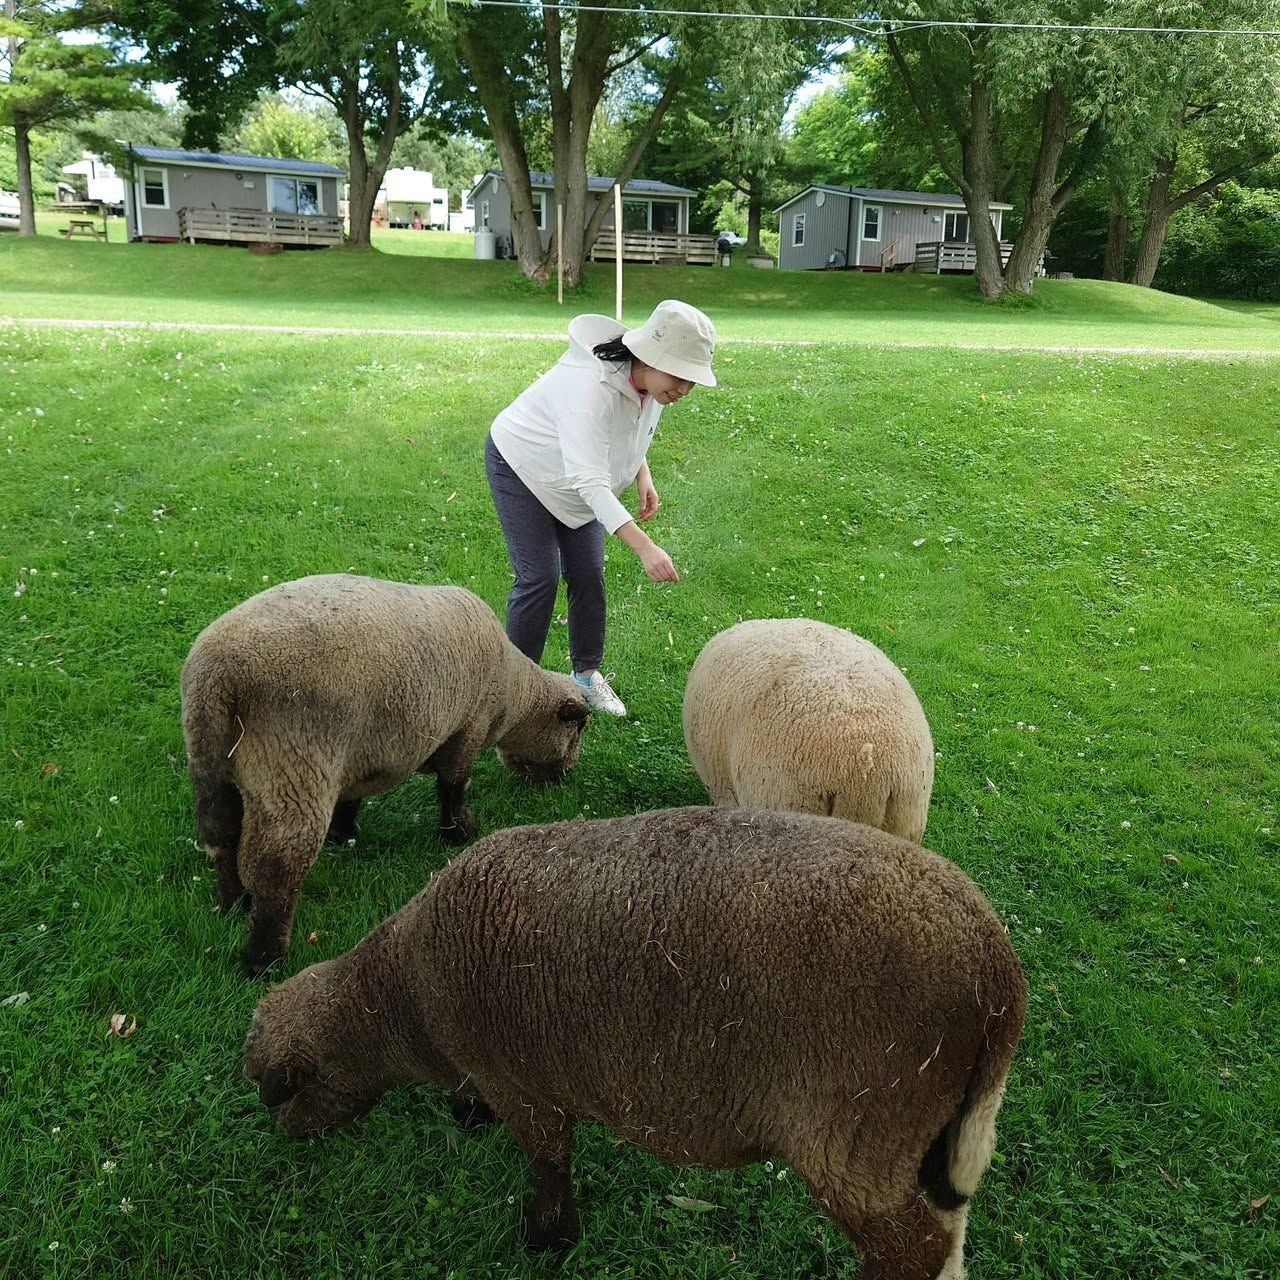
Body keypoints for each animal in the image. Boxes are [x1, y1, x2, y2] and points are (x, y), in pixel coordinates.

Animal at [181, 573, 590, 975]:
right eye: (579, 729)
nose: (565, 775)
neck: (513, 693)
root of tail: (216, 679)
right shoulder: (467, 728)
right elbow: (453, 786)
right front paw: (459, 831)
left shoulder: (358, 755)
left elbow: (351, 798)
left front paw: (345, 833)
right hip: (293, 763)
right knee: (277, 866)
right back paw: (264, 959)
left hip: (215, 765)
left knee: (222, 837)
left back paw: (235, 903)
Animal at [243, 805, 1026, 1279]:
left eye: (282, 1091)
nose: (281, 1137)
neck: (406, 1001)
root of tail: (999, 974)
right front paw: (470, 1118)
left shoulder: (522, 1082)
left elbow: (550, 1162)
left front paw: (549, 1237)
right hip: (929, 1138)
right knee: (947, 1234)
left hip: (860, 1132)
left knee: (913, 1251)